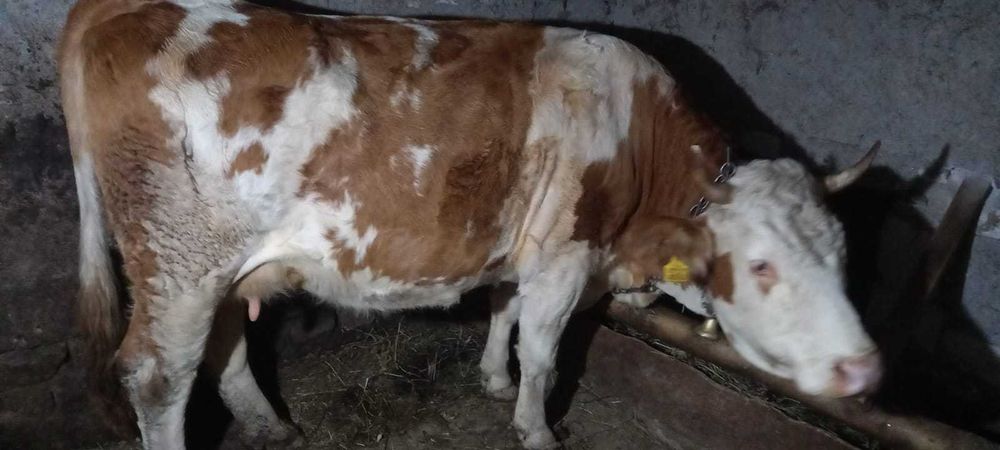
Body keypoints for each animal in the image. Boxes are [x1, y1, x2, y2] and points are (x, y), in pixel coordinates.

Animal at [58, 1, 882, 448]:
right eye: (765, 265)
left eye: (843, 258)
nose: (864, 369)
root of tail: (121, 10)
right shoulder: (565, 258)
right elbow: (544, 351)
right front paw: (536, 426)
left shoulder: (521, 241)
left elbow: (502, 311)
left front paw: (491, 378)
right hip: (179, 260)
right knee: (157, 377)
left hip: (222, 270)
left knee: (223, 351)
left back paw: (273, 425)